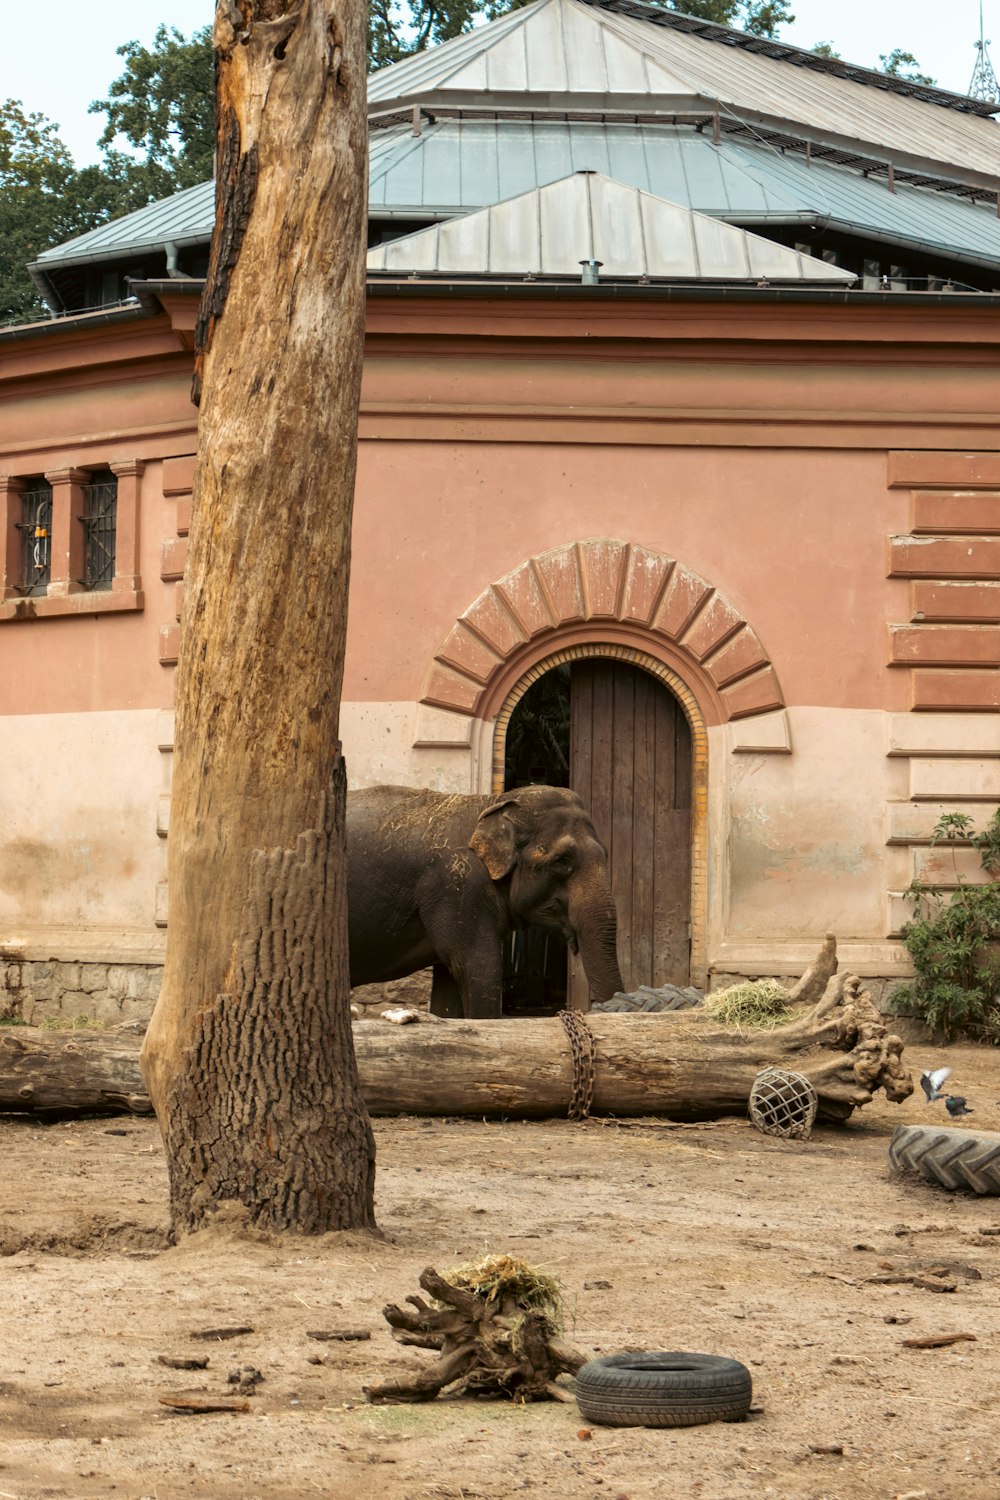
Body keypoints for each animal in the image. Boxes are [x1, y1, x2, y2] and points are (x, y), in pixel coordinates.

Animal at [347, 786, 620, 1020]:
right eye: (561, 861)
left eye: (606, 855)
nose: (609, 1005)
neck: (493, 802)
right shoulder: (459, 887)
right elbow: (479, 969)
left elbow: (449, 985)